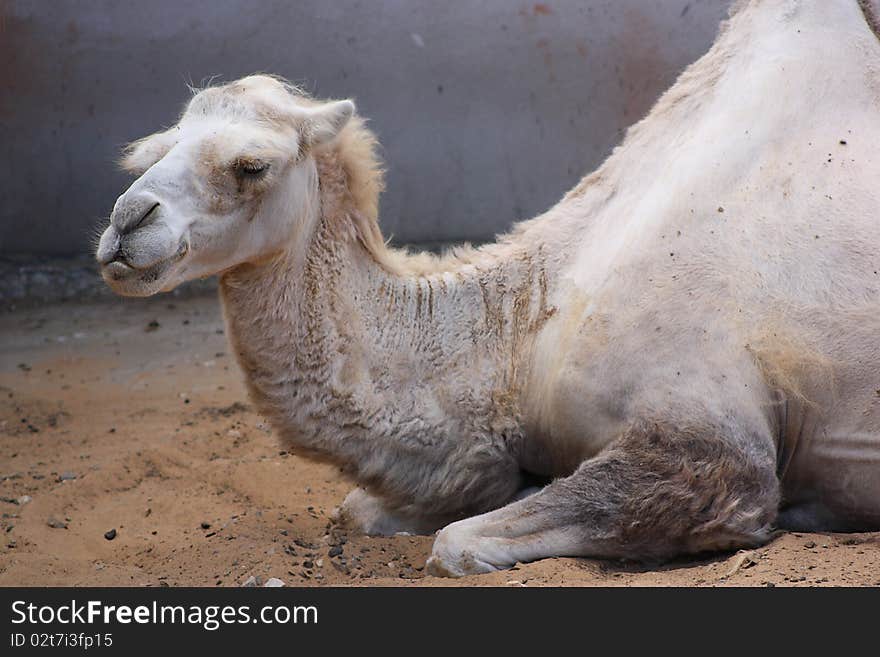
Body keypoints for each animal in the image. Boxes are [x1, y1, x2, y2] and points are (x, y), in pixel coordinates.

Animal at [96, 0, 880, 576]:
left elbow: (456, 543)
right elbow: (359, 510)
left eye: (250, 166)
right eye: (153, 151)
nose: (125, 227)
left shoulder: (711, 441)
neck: (524, 330)